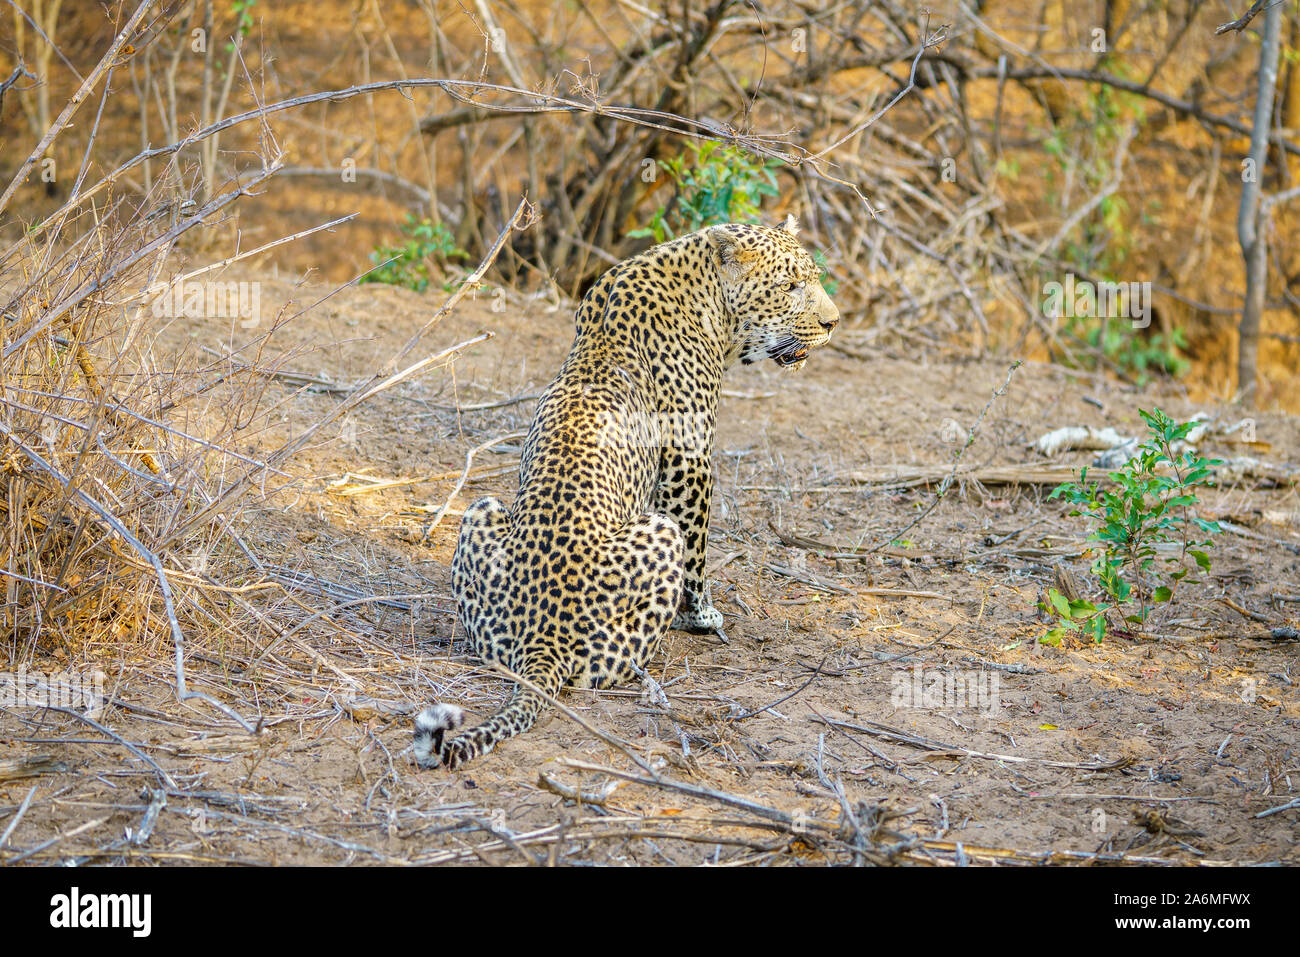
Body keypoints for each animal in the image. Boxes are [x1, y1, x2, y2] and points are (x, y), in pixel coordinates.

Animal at [416, 214, 842, 769]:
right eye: (790, 286)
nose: (834, 322)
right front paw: (702, 617)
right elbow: (699, 549)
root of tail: (541, 642)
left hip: (481, 511)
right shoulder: (689, 459)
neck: (703, 291)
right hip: (657, 536)